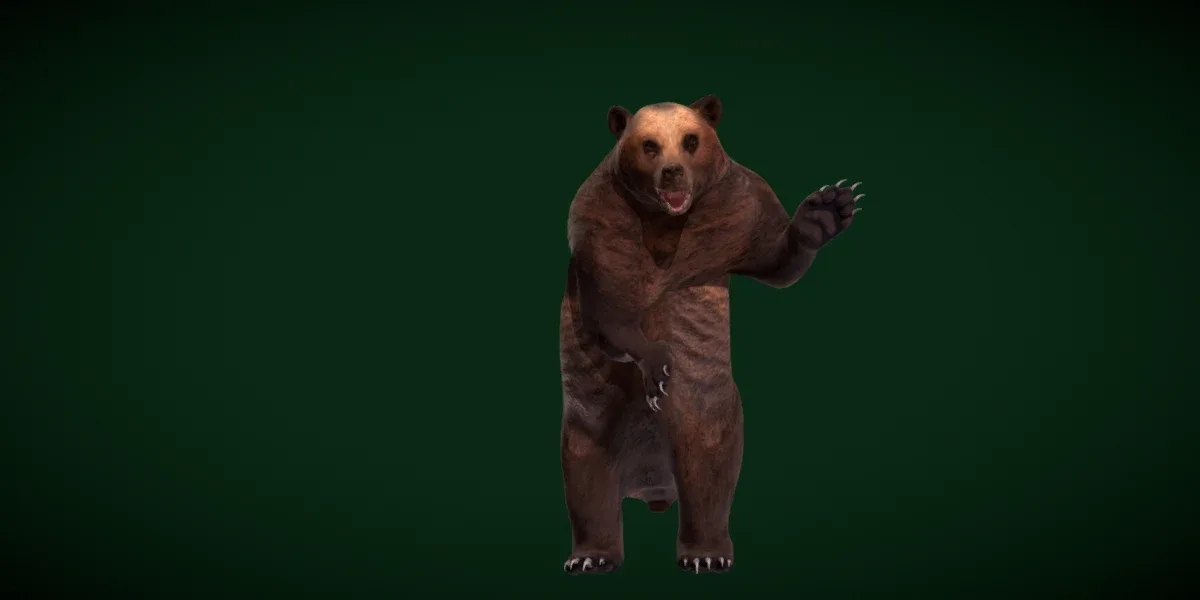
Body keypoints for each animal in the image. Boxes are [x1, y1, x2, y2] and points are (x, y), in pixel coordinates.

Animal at [559, 95, 863, 575]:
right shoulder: (601, 222)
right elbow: (609, 308)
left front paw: (828, 209)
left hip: (705, 404)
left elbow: (774, 258)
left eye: (690, 140)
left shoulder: (736, 210)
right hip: (593, 409)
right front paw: (657, 364)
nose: (672, 172)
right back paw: (591, 556)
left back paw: (705, 553)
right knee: (586, 467)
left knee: (708, 464)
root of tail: (652, 481)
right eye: (649, 145)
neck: (665, 220)